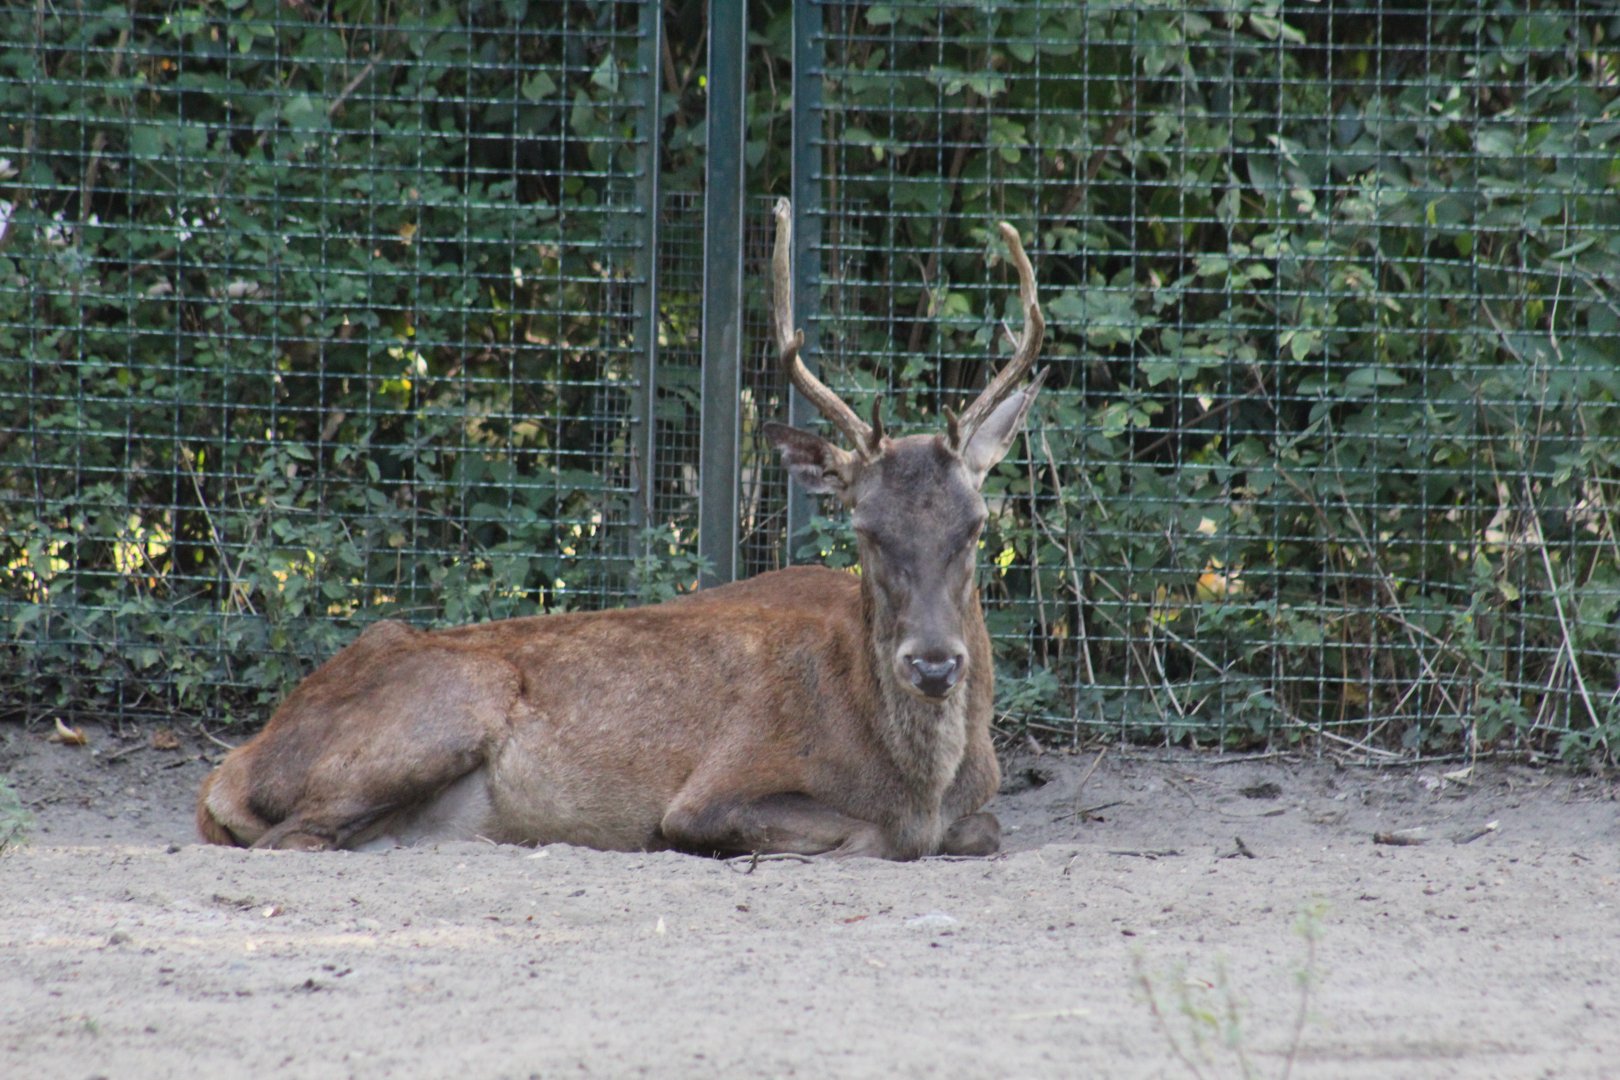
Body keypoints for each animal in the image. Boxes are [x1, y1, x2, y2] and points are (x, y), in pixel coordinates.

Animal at [196, 198, 1047, 860]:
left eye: (976, 526)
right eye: (866, 528)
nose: (933, 664)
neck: (918, 780)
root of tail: (233, 765)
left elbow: (983, 829)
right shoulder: (711, 789)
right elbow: (875, 836)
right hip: (443, 706)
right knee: (293, 836)